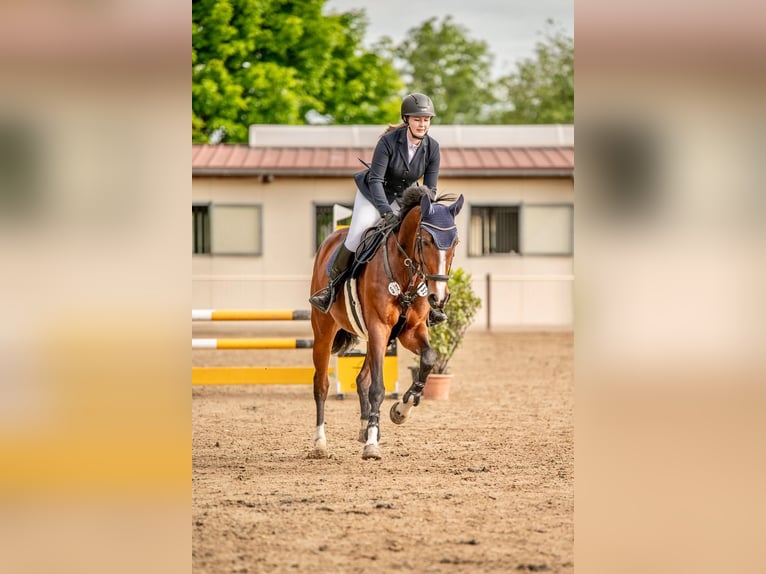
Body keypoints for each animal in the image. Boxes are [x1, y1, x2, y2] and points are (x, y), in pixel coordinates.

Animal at [309, 184, 464, 460]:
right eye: (426, 241)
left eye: (455, 243)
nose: (439, 298)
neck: (406, 274)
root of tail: (329, 241)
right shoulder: (380, 327)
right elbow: (378, 389)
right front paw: (372, 445)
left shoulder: (410, 331)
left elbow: (429, 358)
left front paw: (401, 410)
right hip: (324, 330)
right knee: (322, 384)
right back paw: (320, 443)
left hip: (374, 338)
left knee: (361, 379)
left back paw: (364, 429)